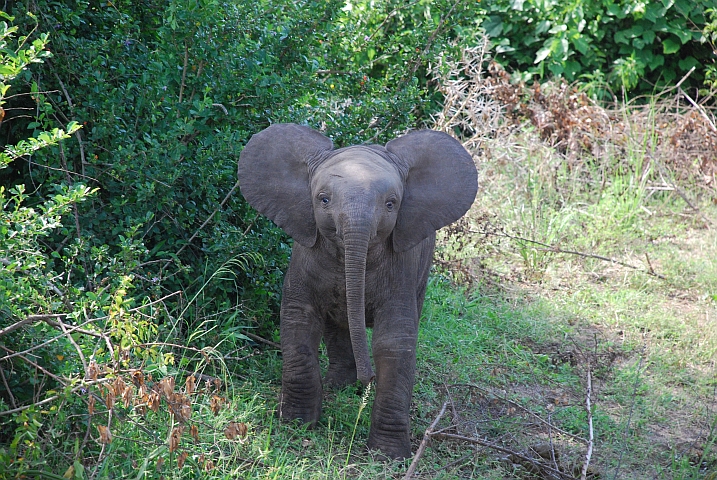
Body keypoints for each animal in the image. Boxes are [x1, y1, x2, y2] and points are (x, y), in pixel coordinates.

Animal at [238, 122, 478, 460]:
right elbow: (299, 321)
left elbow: (394, 340)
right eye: (323, 199)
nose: (369, 379)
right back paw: (339, 387)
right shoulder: (305, 254)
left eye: (391, 204)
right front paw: (296, 424)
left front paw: (388, 455)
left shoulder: (401, 267)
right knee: (337, 326)